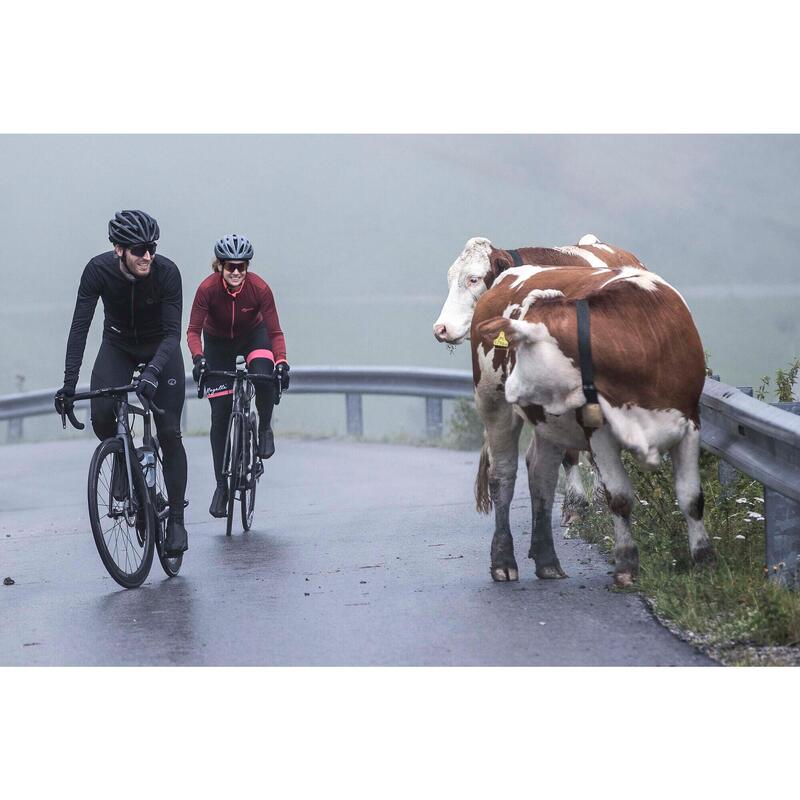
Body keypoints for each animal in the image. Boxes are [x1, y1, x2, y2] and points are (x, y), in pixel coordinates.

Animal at [432, 234, 648, 536]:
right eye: (450, 278)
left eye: (473, 279)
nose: (440, 329)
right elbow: (567, 454)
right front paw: (575, 507)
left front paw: (598, 503)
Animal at [476, 266, 712, 584]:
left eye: (520, 350)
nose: (508, 387)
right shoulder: (599, 432)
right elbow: (620, 496)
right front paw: (626, 565)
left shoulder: (690, 423)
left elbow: (691, 498)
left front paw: (704, 561)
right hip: (493, 406)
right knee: (503, 476)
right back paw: (503, 561)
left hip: (547, 422)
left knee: (542, 476)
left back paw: (547, 560)